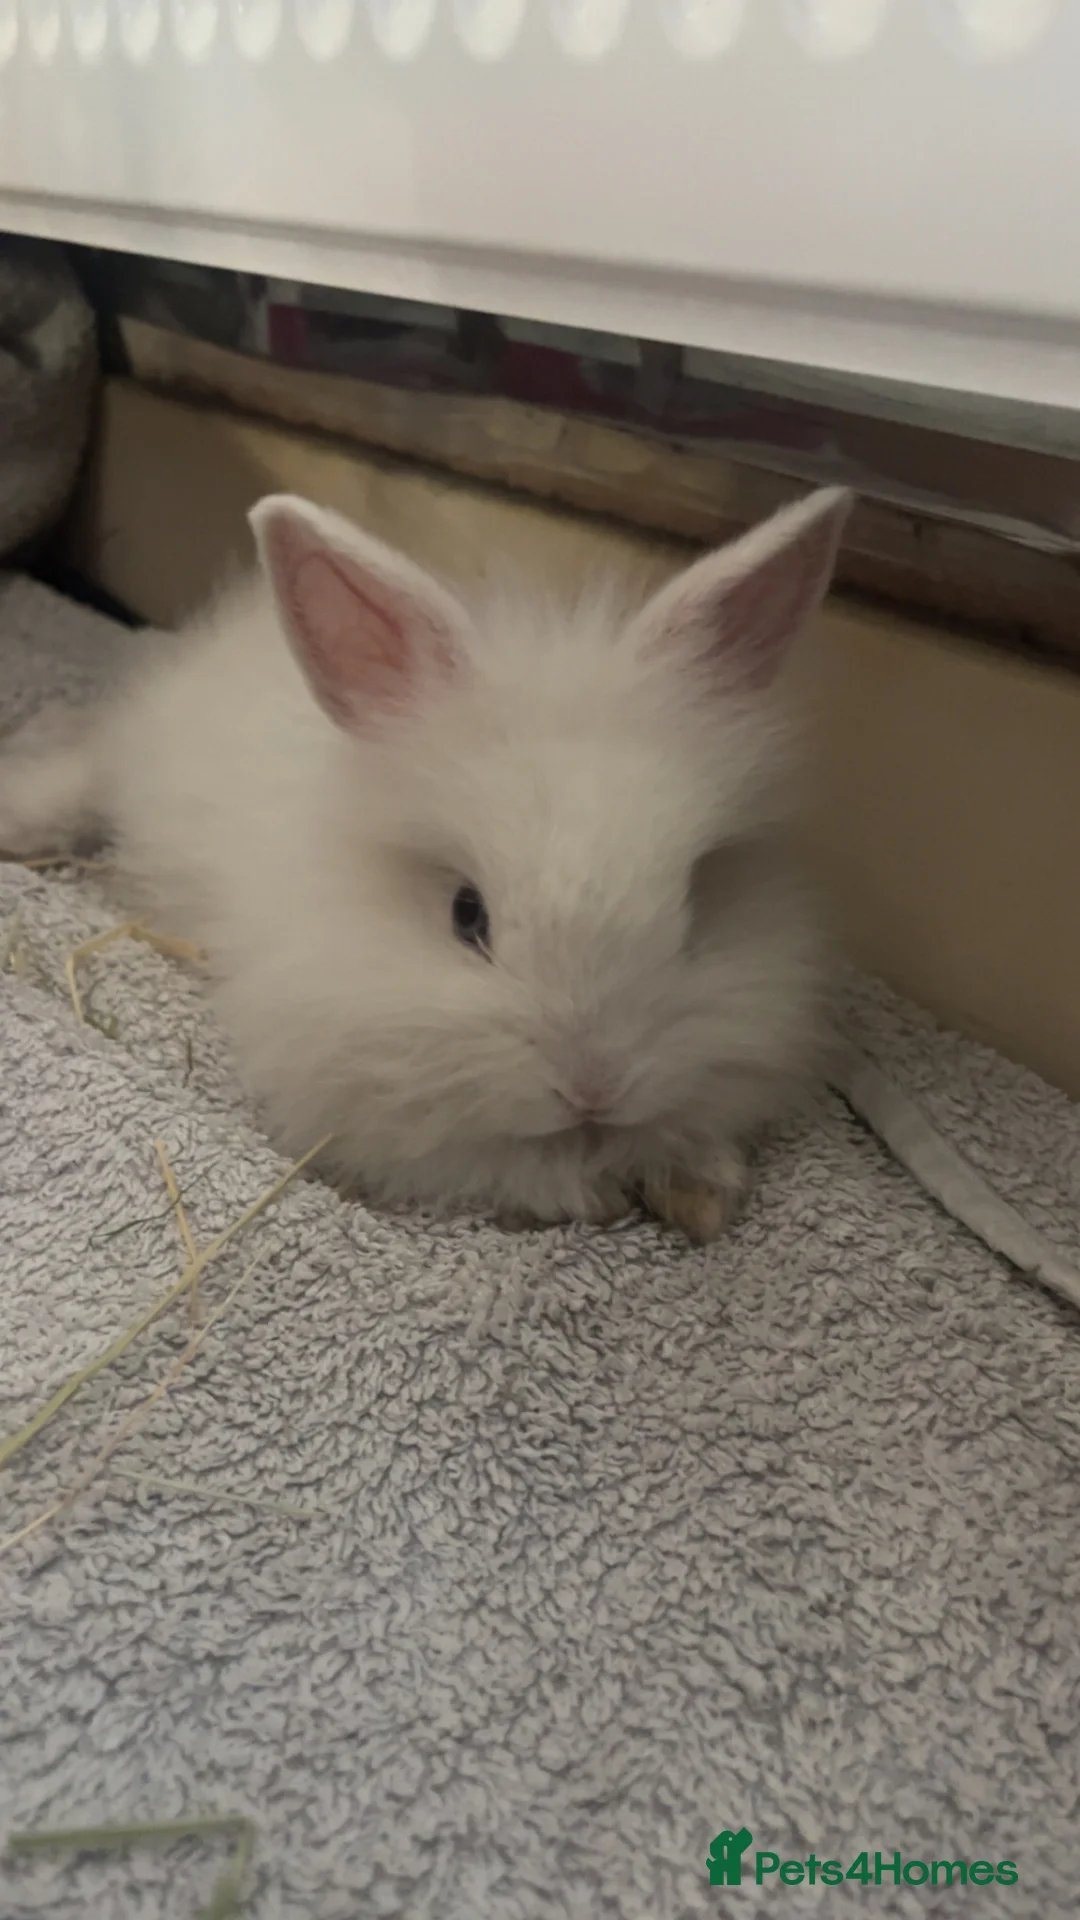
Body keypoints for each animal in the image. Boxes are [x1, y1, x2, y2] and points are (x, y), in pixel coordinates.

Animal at [0, 484, 851, 1238]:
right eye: (465, 916)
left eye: (691, 908)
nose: (593, 1090)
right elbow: (497, 1164)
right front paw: (593, 1189)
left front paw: (701, 1192)